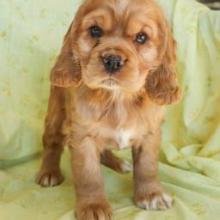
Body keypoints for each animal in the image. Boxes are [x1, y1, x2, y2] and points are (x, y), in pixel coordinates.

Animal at [36, 0, 180, 219]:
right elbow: (89, 175)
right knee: (51, 142)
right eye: (95, 30)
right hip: (56, 113)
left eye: (141, 37)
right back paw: (49, 172)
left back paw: (120, 164)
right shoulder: (82, 136)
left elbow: (147, 166)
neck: (117, 98)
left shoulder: (150, 134)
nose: (112, 60)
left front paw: (151, 195)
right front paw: (93, 206)